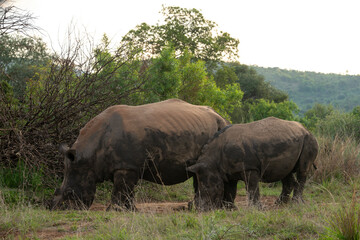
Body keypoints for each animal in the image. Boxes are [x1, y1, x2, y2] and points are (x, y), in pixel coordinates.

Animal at [50, 99, 228, 210]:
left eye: (70, 193)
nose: (56, 209)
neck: (88, 155)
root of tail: (220, 116)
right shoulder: (126, 166)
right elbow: (126, 190)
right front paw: (130, 210)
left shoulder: (126, 166)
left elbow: (121, 189)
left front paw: (114, 210)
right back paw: (193, 207)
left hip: (219, 128)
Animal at [187, 117, 320, 211]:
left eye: (210, 187)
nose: (203, 210)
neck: (212, 161)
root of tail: (306, 129)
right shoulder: (227, 171)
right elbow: (230, 189)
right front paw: (231, 209)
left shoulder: (249, 168)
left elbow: (252, 188)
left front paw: (256, 209)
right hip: (291, 140)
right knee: (286, 173)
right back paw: (279, 204)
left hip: (309, 140)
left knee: (302, 170)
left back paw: (296, 203)